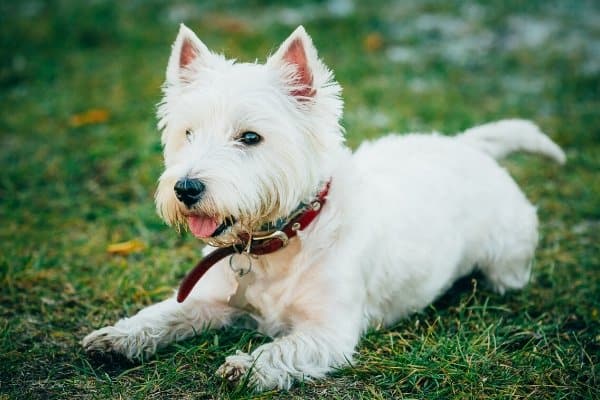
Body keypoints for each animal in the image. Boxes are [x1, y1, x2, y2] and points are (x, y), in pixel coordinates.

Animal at [82, 24, 564, 390]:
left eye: (250, 137)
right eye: (188, 133)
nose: (186, 188)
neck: (275, 242)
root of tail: (469, 146)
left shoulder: (328, 332)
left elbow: (285, 349)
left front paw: (245, 366)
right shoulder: (211, 300)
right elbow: (165, 313)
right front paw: (118, 337)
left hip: (507, 260)